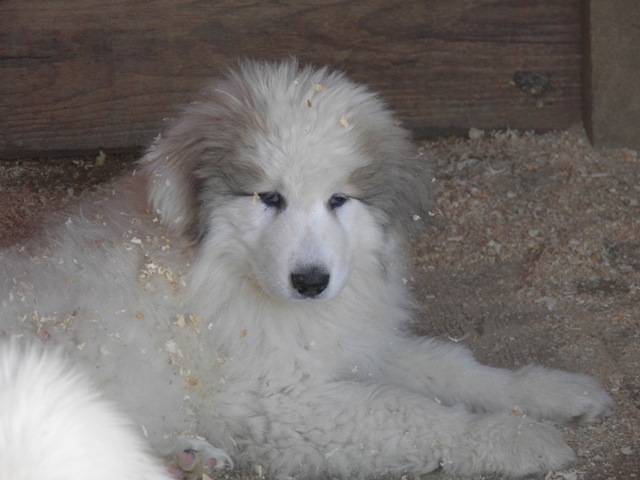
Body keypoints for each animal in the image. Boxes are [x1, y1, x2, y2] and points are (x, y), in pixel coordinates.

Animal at [0, 61, 612, 480]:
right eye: (268, 197)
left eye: (339, 200)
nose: (312, 282)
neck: (221, 266)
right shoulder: (278, 403)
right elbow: (406, 412)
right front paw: (516, 437)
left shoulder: (354, 344)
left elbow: (454, 369)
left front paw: (550, 393)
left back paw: (188, 457)